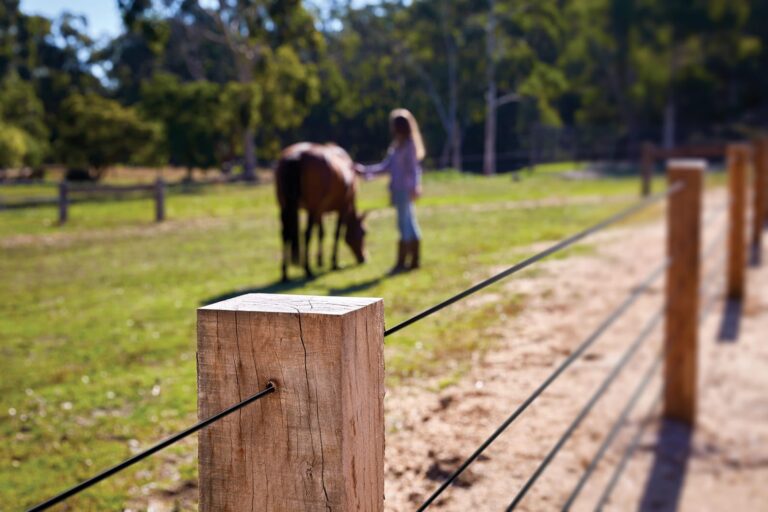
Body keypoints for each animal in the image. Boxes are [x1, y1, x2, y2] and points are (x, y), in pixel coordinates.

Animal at [275, 142, 367, 282]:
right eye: (364, 233)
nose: (363, 258)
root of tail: (297, 155)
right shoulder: (343, 207)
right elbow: (336, 234)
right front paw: (334, 263)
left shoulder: (320, 210)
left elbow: (321, 232)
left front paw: (320, 261)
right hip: (311, 206)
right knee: (306, 234)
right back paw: (307, 269)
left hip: (284, 206)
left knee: (285, 234)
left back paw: (285, 273)